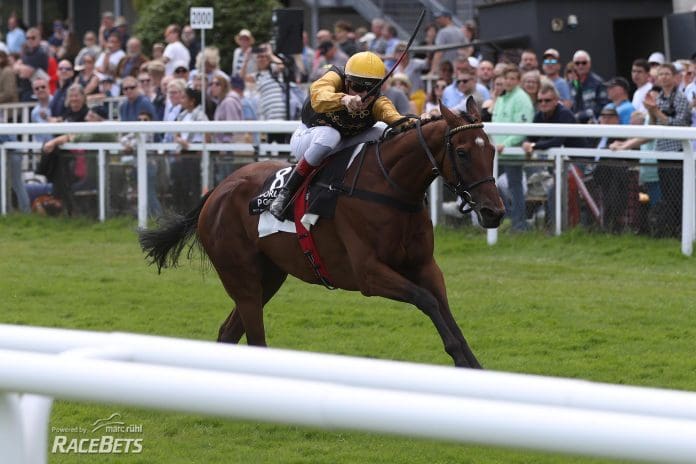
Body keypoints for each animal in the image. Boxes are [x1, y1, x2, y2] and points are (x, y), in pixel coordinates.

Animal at [139, 99, 502, 368]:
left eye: (492, 150)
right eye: (462, 152)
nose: (494, 212)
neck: (388, 187)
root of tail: (216, 190)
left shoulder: (425, 265)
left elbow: (442, 306)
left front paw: (471, 364)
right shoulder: (369, 274)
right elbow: (426, 300)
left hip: (269, 276)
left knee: (229, 332)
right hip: (240, 276)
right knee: (254, 336)